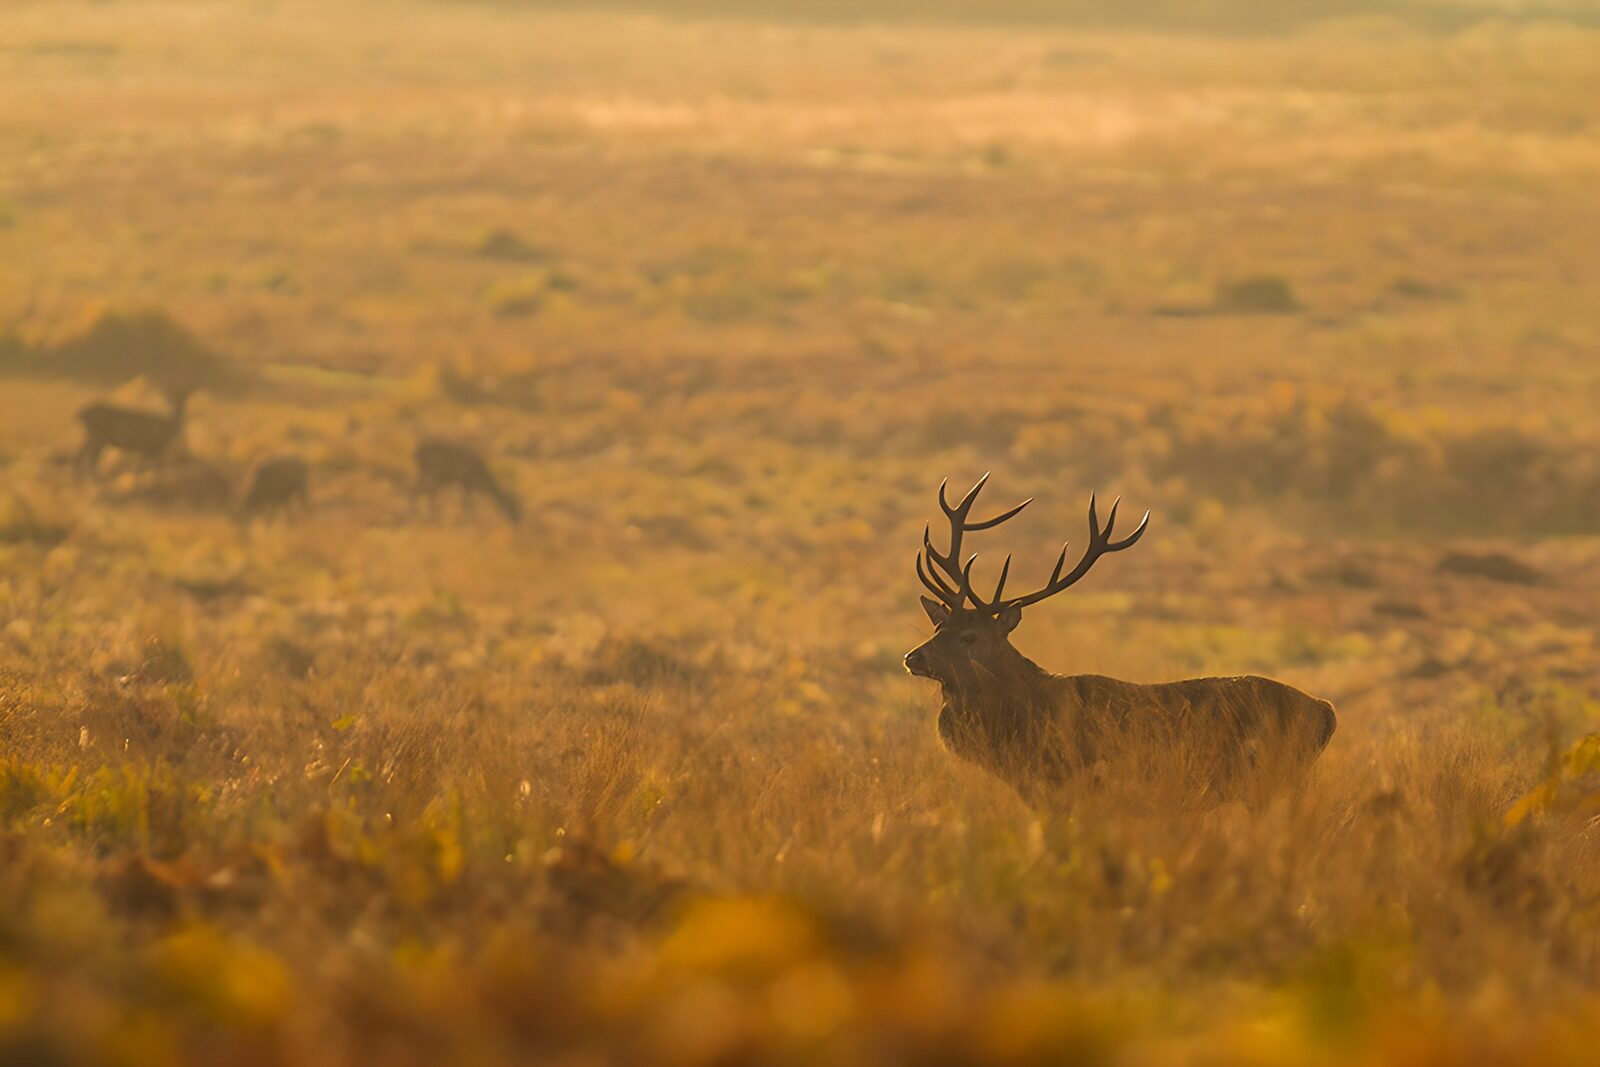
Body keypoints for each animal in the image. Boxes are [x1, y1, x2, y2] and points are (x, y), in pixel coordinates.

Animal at [904, 475, 1335, 810]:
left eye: (970, 636)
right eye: (938, 629)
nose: (912, 657)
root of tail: (1326, 712)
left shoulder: (1073, 783)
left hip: (1268, 777)